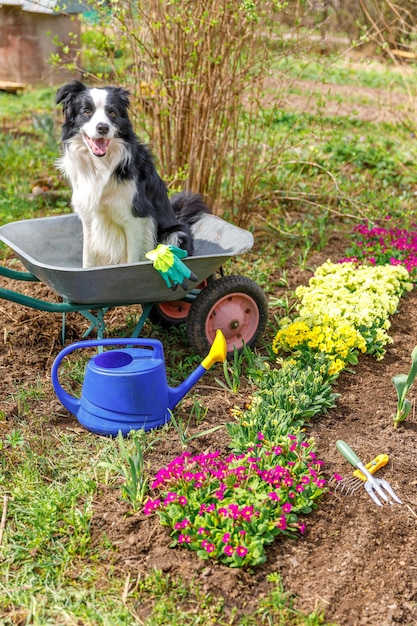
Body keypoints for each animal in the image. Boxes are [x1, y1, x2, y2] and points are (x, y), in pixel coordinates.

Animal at [55, 80, 210, 266]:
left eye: (112, 112)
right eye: (87, 111)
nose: (103, 128)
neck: (101, 166)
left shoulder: (136, 219)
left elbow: (132, 260)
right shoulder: (89, 217)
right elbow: (88, 259)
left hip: (175, 234)